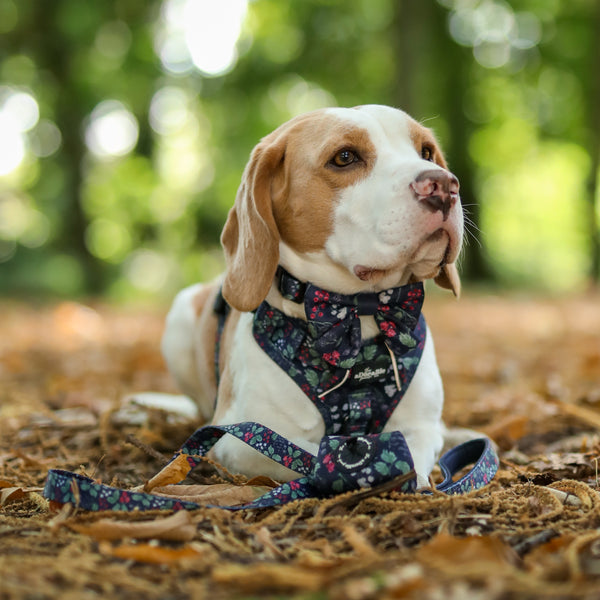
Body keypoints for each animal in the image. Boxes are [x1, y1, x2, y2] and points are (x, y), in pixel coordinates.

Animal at [161, 104, 464, 488]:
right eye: (345, 157)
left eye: (426, 152)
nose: (444, 184)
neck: (356, 314)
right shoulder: (238, 441)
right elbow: (308, 453)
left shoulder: (421, 427)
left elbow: (413, 450)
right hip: (178, 321)